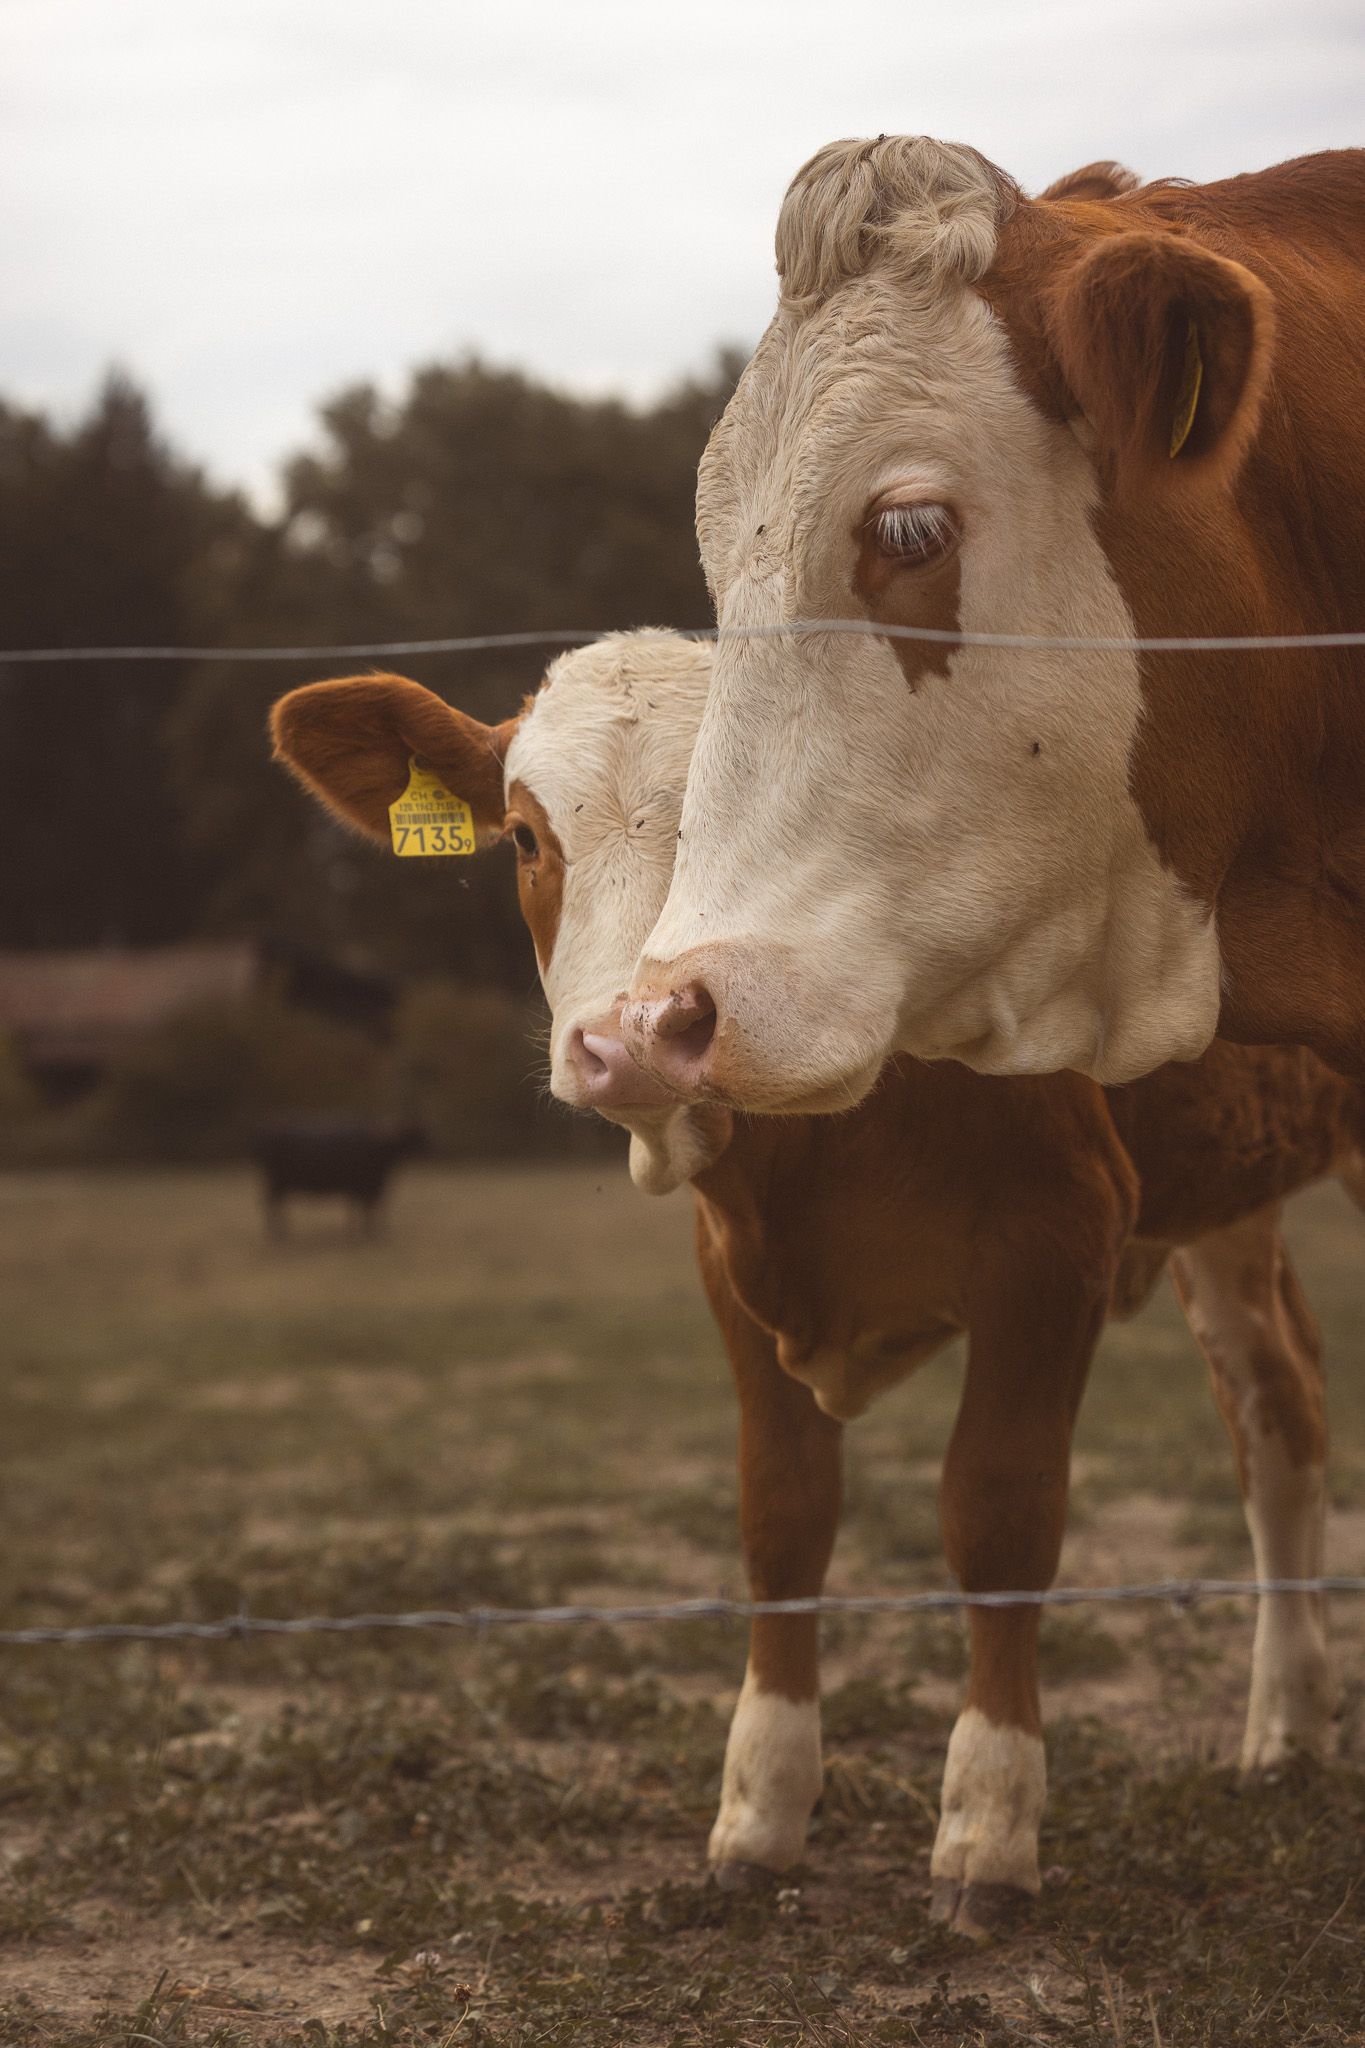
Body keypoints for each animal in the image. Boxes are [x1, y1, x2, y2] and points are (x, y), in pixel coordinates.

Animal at [269, 634, 1358, 1935]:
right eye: (527, 837)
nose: (629, 1038)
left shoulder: (1056, 1245)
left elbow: (999, 1517)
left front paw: (988, 1830)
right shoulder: (735, 1275)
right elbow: (782, 1520)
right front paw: (761, 1813)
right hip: (1223, 1198)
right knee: (1278, 1415)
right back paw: (1286, 1725)